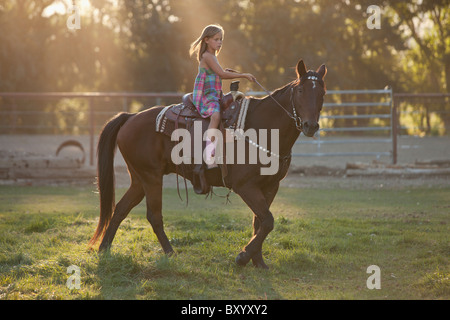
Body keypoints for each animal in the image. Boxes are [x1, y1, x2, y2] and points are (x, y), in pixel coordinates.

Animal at [89, 59, 326, 268]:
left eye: (322, 93)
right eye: (301, 90)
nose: (311, 125)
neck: (263, 129)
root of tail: (130, 117)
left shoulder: (270, 186)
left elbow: (259, 223)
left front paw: (258, 261)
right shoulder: (245, 186)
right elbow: (267, 221)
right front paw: (243, 257)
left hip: (139, 179)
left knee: (120, 209)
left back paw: (104, 250)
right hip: (151, 177)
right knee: (154, 216)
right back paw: (170, 253)